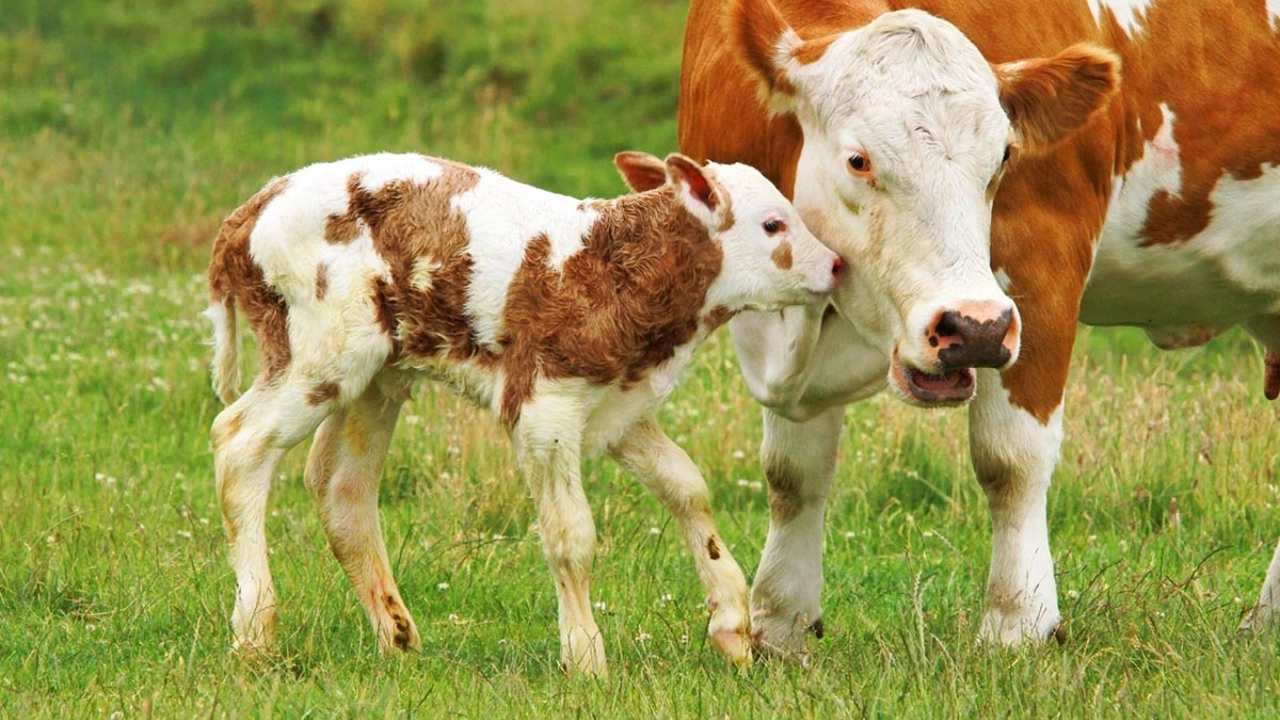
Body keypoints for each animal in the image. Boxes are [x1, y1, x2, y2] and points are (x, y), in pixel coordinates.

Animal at [204, 148, 844, 671]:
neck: (610, 269)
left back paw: (397, 636)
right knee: (238, 441)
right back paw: (255, 631)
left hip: (377, 374)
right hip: (322, 352)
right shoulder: (544, 407)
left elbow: (687, 487)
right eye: (773, 224)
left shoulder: (618, 403)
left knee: (340, 486)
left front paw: (731, 623)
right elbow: (570, 535)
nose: (837, 264)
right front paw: (585, 658)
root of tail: (255, 206)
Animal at [686, 0, 1280, 655]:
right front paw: (781, 625)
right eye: (858, 160)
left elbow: (1010, 458)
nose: (973, 330)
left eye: (1004, 157)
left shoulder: (1040, 269)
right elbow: (793, 471)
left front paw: (1017, 624)